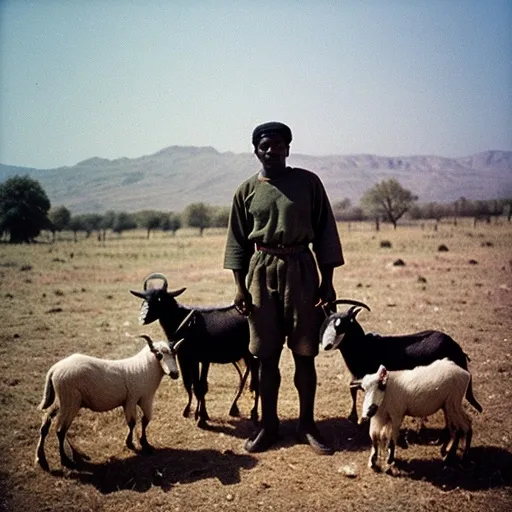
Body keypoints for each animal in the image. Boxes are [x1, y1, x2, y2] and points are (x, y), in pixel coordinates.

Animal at [34, 334, 182, 470]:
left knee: (46, 424)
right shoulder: (134, 399)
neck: (143, 368)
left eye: (175, 354)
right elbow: (134, 422)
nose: (175, 374)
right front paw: (133, 444)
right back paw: (65, 460)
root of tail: (54, 369)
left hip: (60, 402)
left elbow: (145, 421)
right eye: (159, 355)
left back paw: (43, 459)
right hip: (70, 401)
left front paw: (143, 443)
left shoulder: (143, 400)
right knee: (60, 430)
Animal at [130, 272, 258, 428]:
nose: (142, 316)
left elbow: (201, 386)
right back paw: (235, 407)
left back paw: (253, 413)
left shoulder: (203, 359)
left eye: (160, 299)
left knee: (256, 381)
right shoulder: (184, 358)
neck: (186, 323)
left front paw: (201, 418)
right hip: (245, 355)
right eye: (144, 299)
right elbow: (189, 384)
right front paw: (192, 412)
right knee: (247, 375)